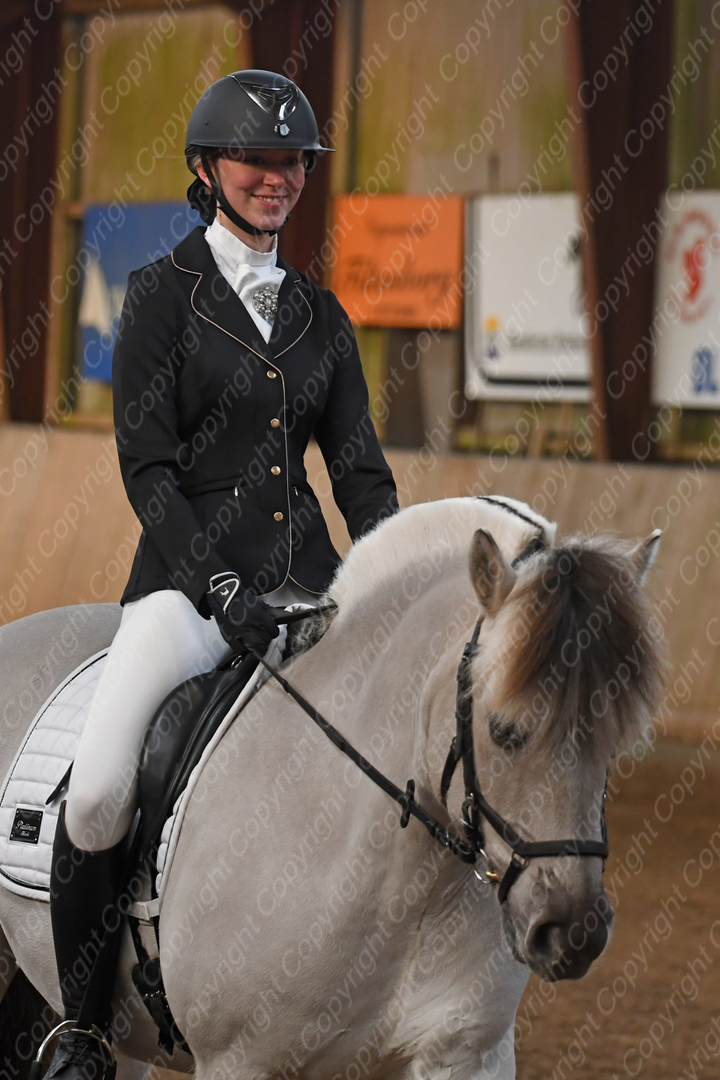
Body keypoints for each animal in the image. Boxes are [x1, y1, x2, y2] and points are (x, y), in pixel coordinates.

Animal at [0, 496, 664, 1080]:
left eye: (615, 740)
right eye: (503, 730)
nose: (573, 933)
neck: (403, 883)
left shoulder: (467, 1055)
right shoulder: (238, 1061)